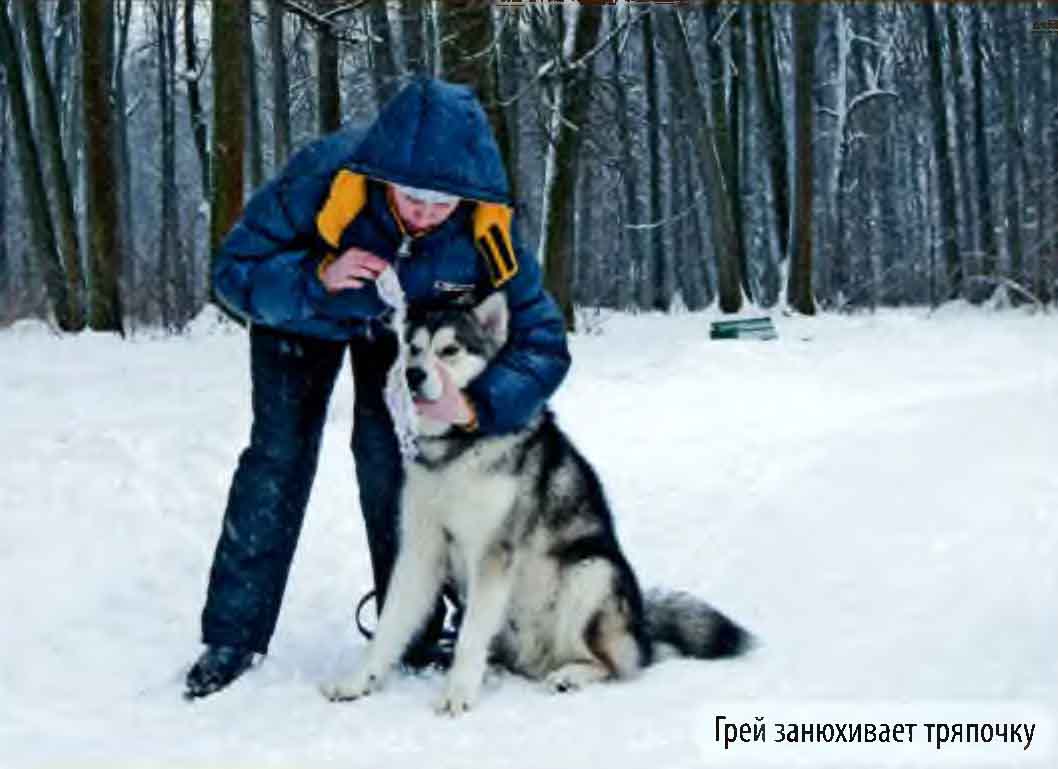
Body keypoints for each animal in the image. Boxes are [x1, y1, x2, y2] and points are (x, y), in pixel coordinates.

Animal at [323, 294, 753, 715]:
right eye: (412, 349)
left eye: (449, 351)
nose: (413, 375)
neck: (456, 449)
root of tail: (642, 631)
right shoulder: (421, 549)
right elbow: (389, 625)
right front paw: (358, 682)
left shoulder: (493, 553)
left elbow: (469, 637)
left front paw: (457, 692)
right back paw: (498, 669)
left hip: (591, 571)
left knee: (613, 664)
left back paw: (570, 675)